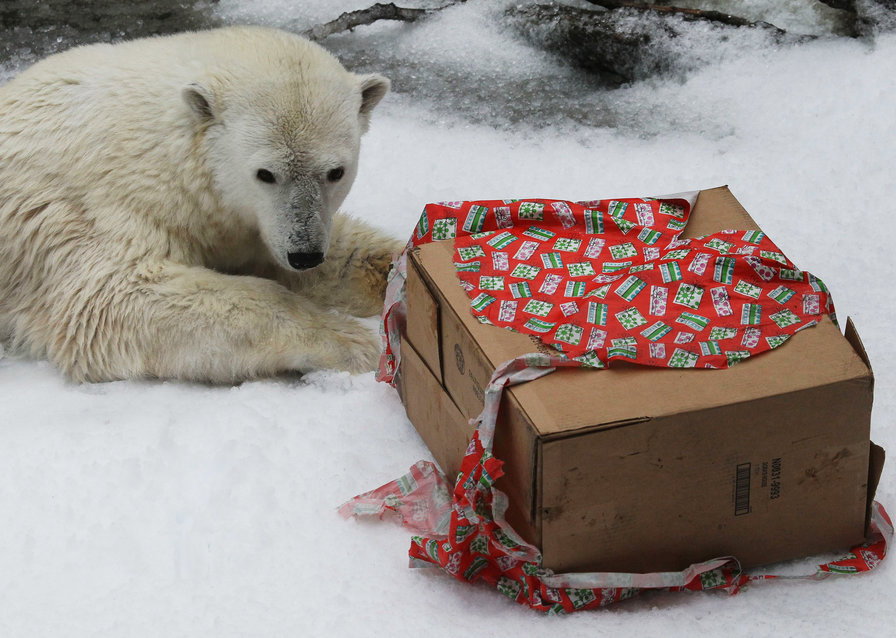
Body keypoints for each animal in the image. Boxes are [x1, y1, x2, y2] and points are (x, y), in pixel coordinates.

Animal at [0, 27, 402, 382]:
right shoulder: (96, 212)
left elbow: (341, 252)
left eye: (335, 172)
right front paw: (352, 341)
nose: (304, 253)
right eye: (265, 173)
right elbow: (114, 299)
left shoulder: (250, 224)